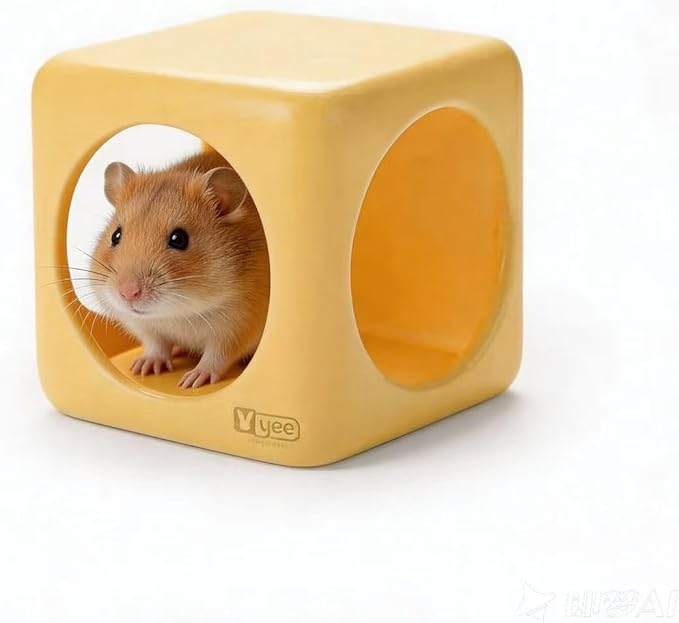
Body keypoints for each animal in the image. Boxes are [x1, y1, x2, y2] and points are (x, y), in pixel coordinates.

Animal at [90, 149, 269, 389]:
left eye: (179, 239)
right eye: (115, 235)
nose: (128, 293)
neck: (179, 313)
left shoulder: (240, 324)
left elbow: (216, 356)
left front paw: (191, 381)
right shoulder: (146, 327)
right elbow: (156, 345)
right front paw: (142, 368)